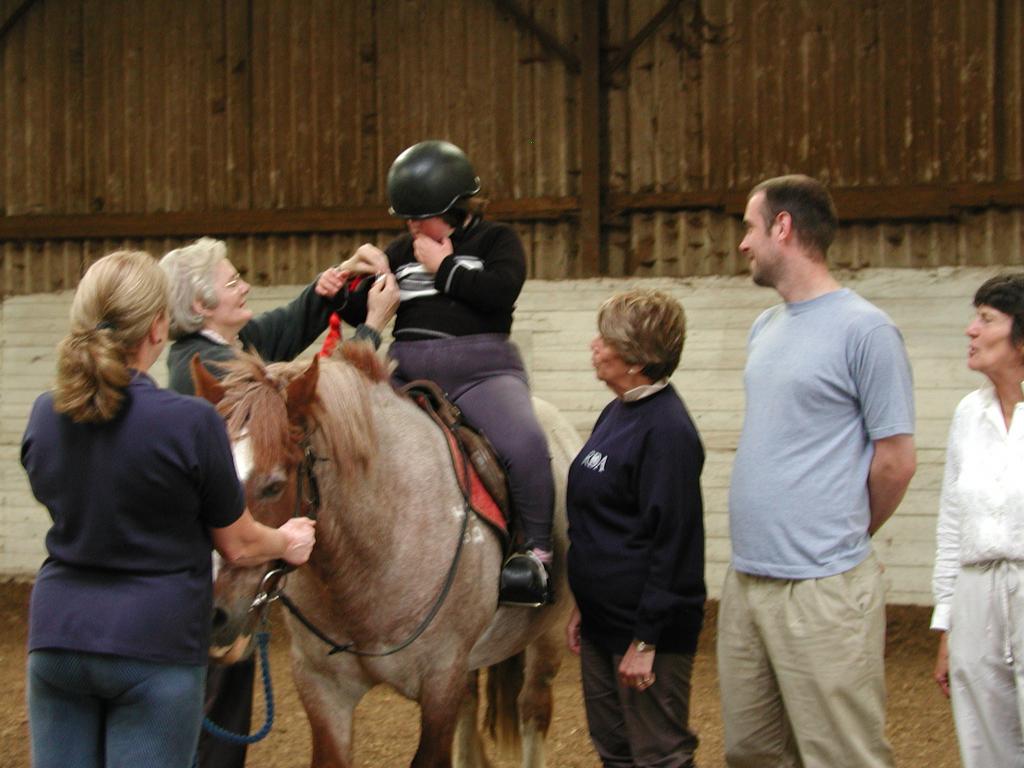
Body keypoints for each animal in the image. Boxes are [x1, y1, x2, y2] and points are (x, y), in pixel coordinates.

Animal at [192, 350, 577, 768]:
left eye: (274, 486)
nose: (210, 612)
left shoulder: (440, 680)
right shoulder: (322, 687)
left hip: (546, 637)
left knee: (533, 709)